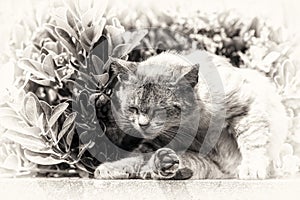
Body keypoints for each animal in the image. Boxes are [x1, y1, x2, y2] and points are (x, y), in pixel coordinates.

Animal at [94, 50, 288, 180]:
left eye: (159, 109)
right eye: (133, 108)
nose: (142, 124)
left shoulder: (245, 107)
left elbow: (253, 140)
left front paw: (252, 166)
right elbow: (135, 157)